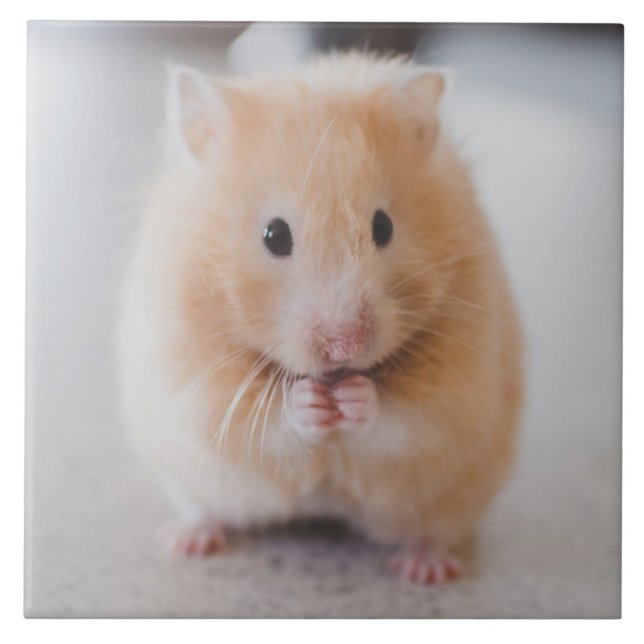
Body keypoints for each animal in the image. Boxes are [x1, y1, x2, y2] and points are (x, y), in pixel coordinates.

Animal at [118, 52, 522, 584]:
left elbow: (404, 419)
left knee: (432, 530)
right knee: (205, 508)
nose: (345, 346)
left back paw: (425, 570)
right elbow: (263, 421)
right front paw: (310, 402)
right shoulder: (195, 383)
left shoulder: (458, 389)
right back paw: (187, 541)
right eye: (274, 235)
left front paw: (354, 398)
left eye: (384, 227)